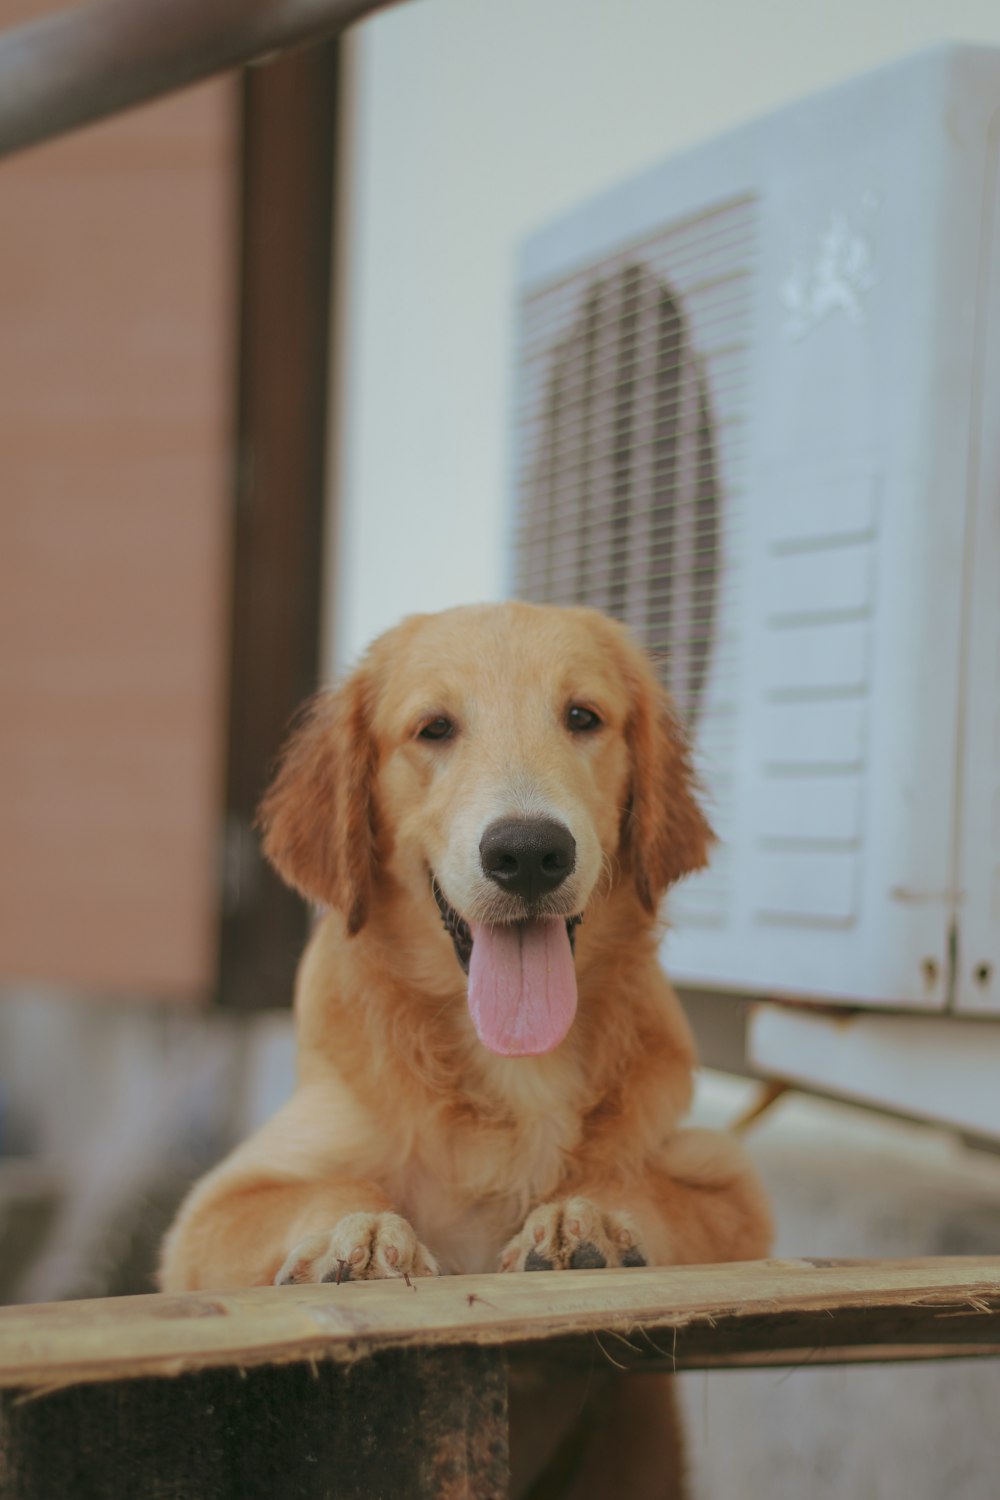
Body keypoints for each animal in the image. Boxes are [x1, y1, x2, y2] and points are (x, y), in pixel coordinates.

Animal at [160, 603, 773, 1494]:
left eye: (582, 716)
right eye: (435, 728)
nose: (528, 854)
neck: (515, 1065)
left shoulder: (730, 1183)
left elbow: (645, 1187)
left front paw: (583, 1218)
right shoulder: (211, 1215)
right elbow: (330, 1187)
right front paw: (359, 1237)